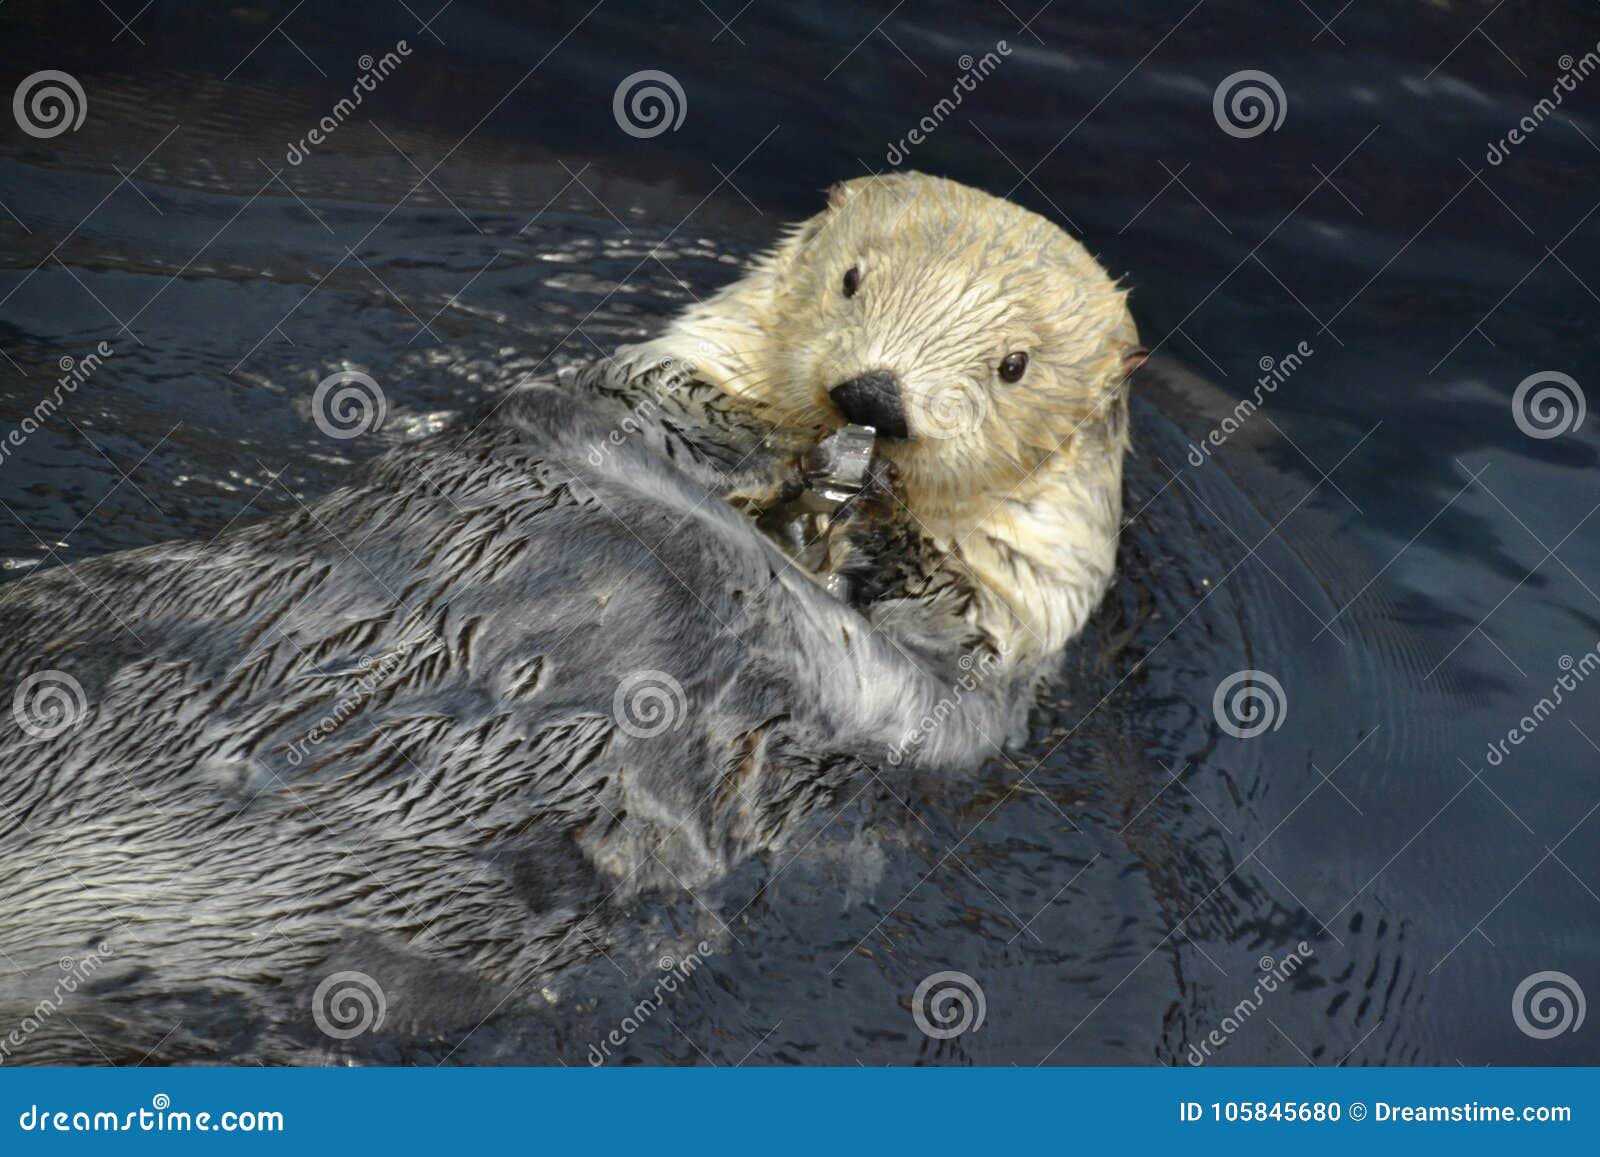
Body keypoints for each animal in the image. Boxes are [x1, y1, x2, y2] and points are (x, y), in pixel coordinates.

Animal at [0, 172, 1139, 1068]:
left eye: (1013, 364)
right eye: (852, 278)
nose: (870, 400)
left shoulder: (978, 662)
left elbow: (919, 662)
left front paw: (853, 528)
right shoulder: (637, 393)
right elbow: (659, 414)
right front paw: (778, 464)